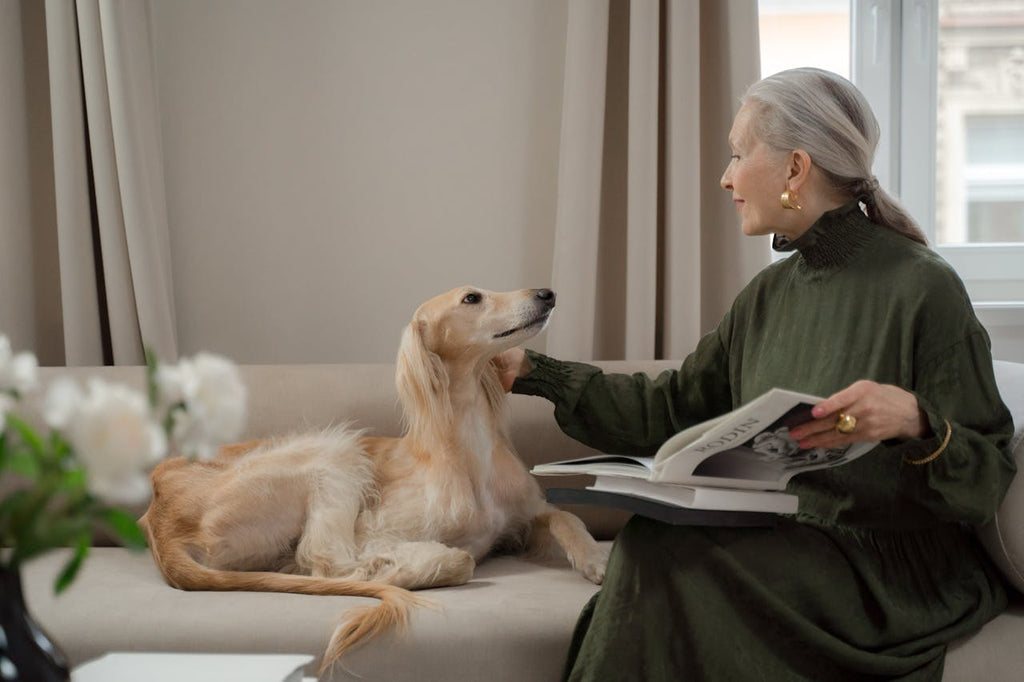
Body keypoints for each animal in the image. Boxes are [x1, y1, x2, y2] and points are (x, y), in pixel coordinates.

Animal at [139, 284, 602, 667]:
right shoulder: (377, 530)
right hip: (333, 452)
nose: (546, 293)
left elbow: (565, 516)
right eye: (472, 297)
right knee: (326, 562)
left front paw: (595, 558)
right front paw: (414, 562)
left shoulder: (527, 512)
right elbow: (458, 558)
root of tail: (159, 520)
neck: (469, 447)